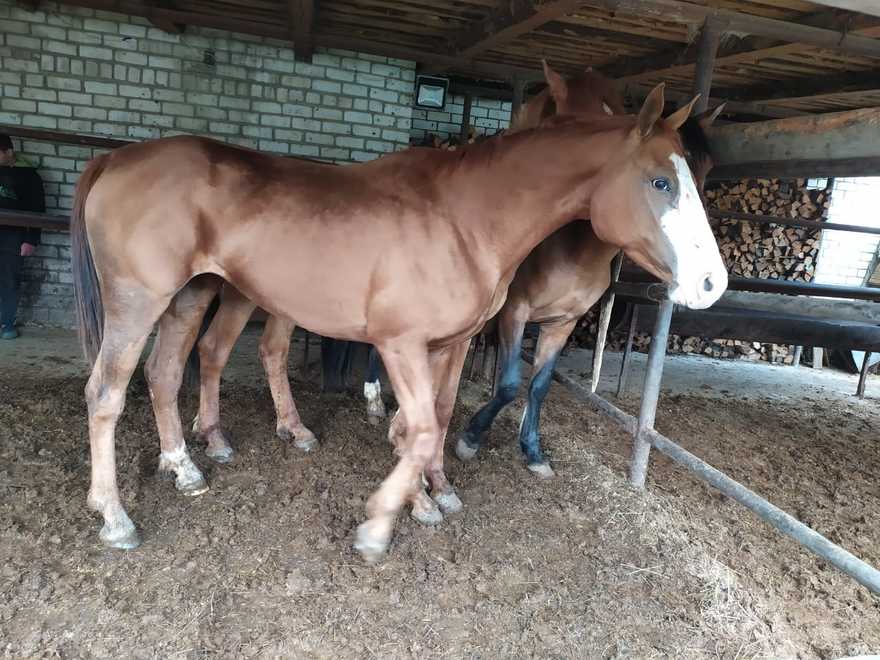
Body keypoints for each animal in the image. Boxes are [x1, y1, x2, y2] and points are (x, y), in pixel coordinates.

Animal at [74, 81, 720, 556]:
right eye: (660, 181)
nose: (712, 283)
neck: (465, 217)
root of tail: (117, 157)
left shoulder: (446, 344)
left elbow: (431, 418)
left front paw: (432, 494)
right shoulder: (400, 344)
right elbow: (424, 427)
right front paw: (381, 523)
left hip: (192, 295)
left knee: (165, 372)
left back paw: (186, 466)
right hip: (139, 301)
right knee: (106, 393)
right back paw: (115, 517)